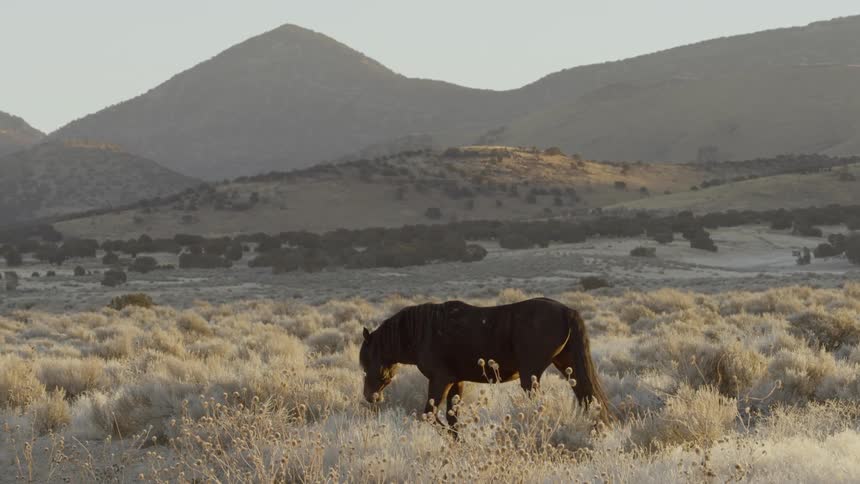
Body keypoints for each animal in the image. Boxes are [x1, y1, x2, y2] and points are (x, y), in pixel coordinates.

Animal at [359, 297, 612, 430]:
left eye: (366, 360)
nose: (370, 396)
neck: (424, 332)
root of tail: (567, 311)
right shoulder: (456, 381)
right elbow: (452, 418)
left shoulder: (440, 380)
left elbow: (430, 415)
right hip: (569, 366)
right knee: (588, 397)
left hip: (531, 375)